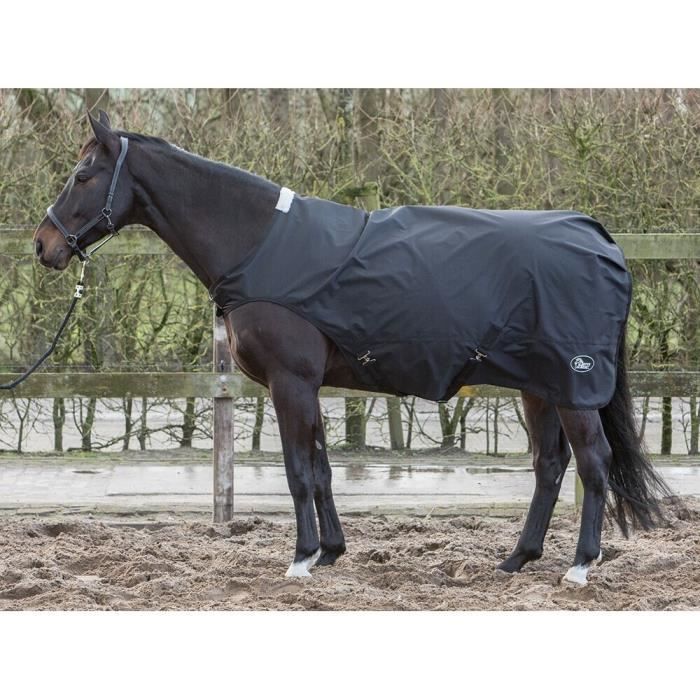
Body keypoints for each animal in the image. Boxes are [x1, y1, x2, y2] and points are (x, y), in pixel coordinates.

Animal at [33, 111, 671, 583]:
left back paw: (580, 566)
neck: (257, 242)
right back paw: (516, 559)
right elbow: (320, 468)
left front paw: (300, 560)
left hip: (574, 385)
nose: (43, 246)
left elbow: (297, 469)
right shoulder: (307, 386)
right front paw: (330, 551)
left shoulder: (290, 382)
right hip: (539, 386)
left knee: (593, 463)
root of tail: (599, 238)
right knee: (549, 465)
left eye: (84, 174)